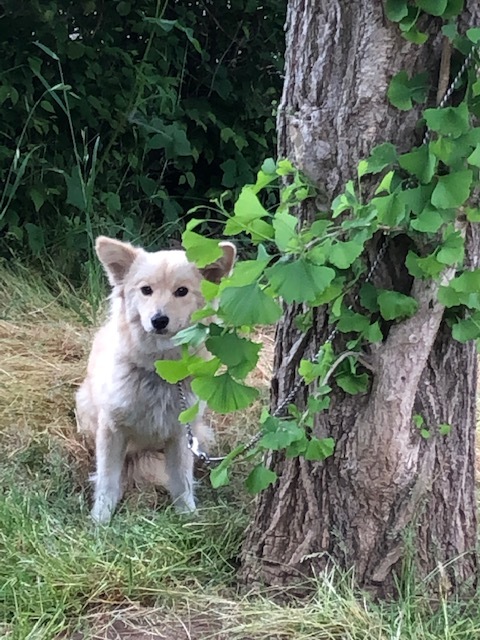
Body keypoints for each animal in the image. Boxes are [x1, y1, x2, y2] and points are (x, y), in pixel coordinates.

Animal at [74, 236, 236, 524]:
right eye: (146, 290)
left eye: (181, 291)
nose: (158, 320)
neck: (160, 371)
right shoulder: (112, 430)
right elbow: (107, 479)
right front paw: (100, 519)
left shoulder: (181, 435)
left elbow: (182, 481)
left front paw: (188, 517)